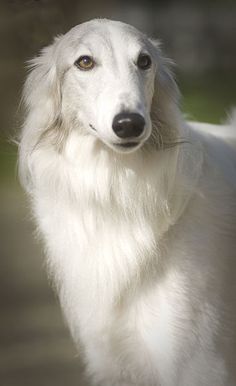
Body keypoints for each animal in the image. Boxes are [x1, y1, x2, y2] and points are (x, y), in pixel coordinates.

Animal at [18, 18, 236, 386]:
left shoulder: (198, 362)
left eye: (144, 61)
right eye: (85, 62)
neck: (116, 188)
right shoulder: (113, 359)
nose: (130, 124)